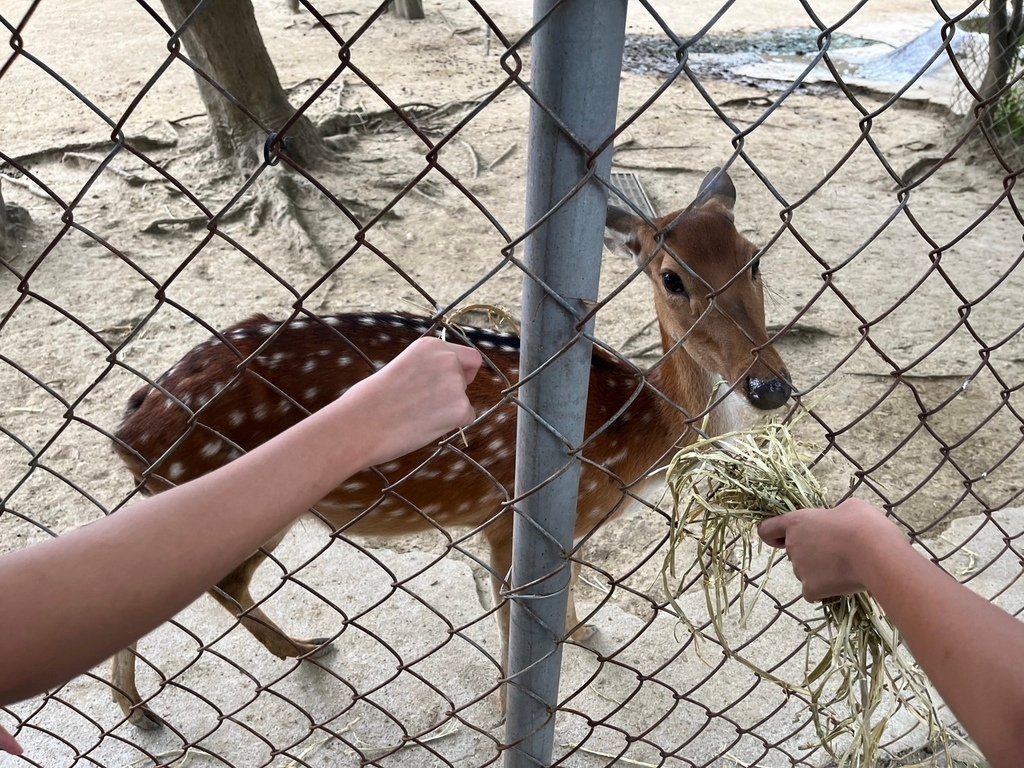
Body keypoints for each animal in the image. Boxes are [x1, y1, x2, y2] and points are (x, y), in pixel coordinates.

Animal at [108, 167, 786, 729]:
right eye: (671, 277)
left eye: (754, 260)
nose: (768, 385)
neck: (631, 434)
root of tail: (129, 428)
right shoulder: (513, 518)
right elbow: (516, 624)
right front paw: (519, 715)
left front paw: (581, 632)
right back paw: (172, 699)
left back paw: (266, 661)